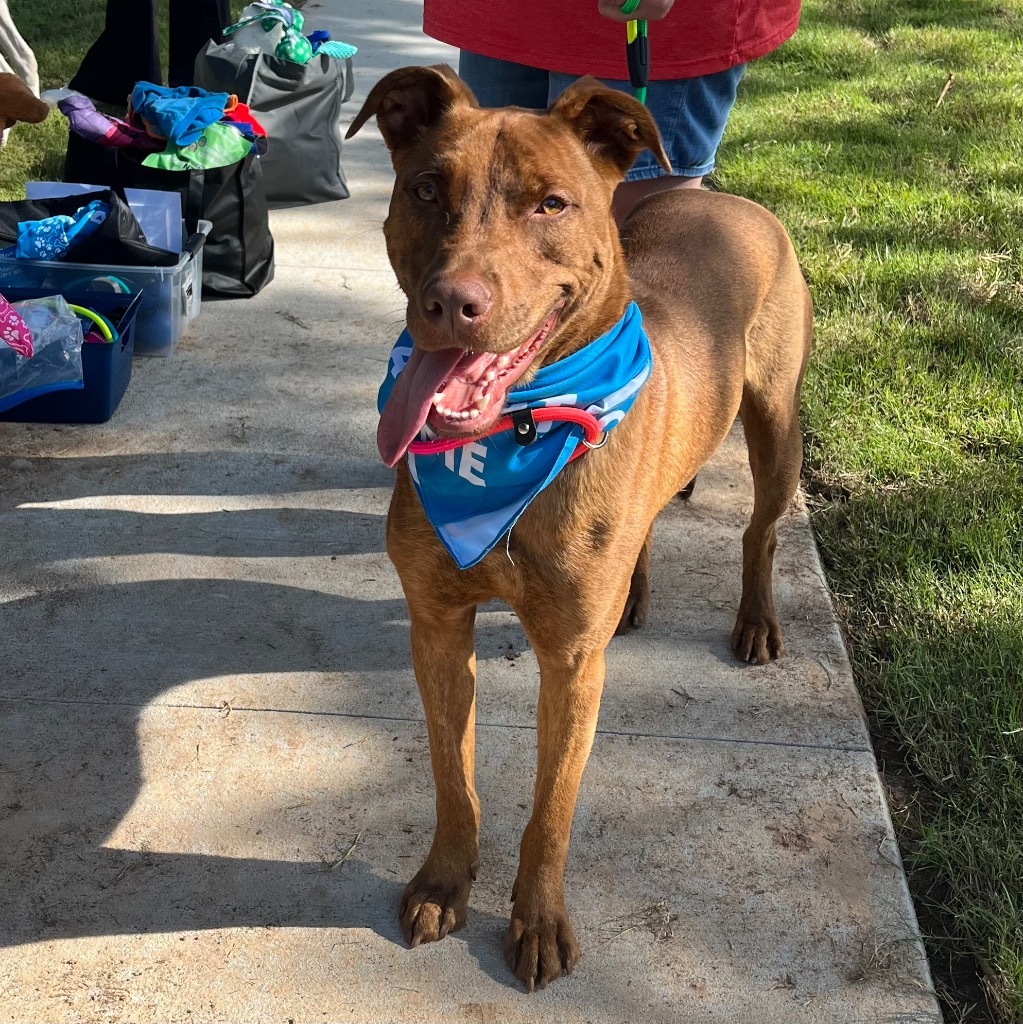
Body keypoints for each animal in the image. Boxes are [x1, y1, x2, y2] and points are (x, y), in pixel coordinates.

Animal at [348, 66, 811, 991]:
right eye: (426, 190)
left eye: (550, 204)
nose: (450, 303)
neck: (519, 436)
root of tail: (733, 200)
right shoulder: (436, 625)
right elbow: (453, 776)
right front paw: (445, 883)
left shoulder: (569, 664)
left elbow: (551, 808)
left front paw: (536, 920)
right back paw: (634, 594)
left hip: (777, 422)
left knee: (760, 532)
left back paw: (754, 619)